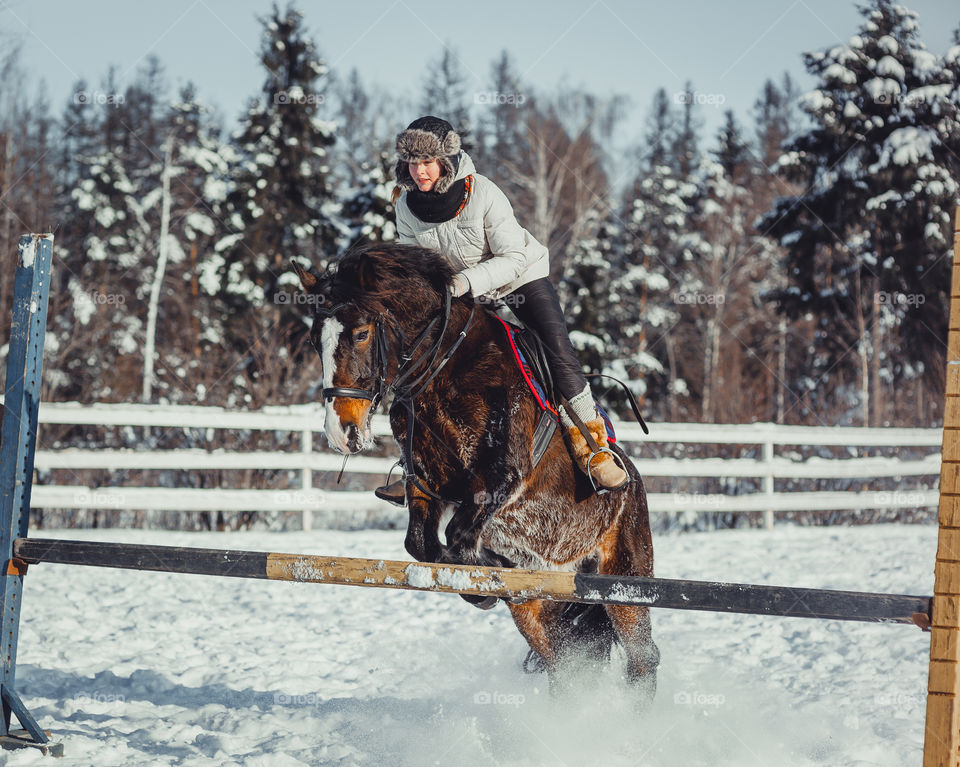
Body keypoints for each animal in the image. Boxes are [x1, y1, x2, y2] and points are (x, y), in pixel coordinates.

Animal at [288, 246, 660, 696]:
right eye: (314, 341)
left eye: (360, 334)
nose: (341, 433)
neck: (442, 366)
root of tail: (634, 483)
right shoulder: (425, 484)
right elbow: (421, 544)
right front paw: (489, 579)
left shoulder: (502, 478)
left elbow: (458, 538)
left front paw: (484, 581)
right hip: (542, 613)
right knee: (564, 664)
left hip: (625, 581)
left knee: (642, 659)